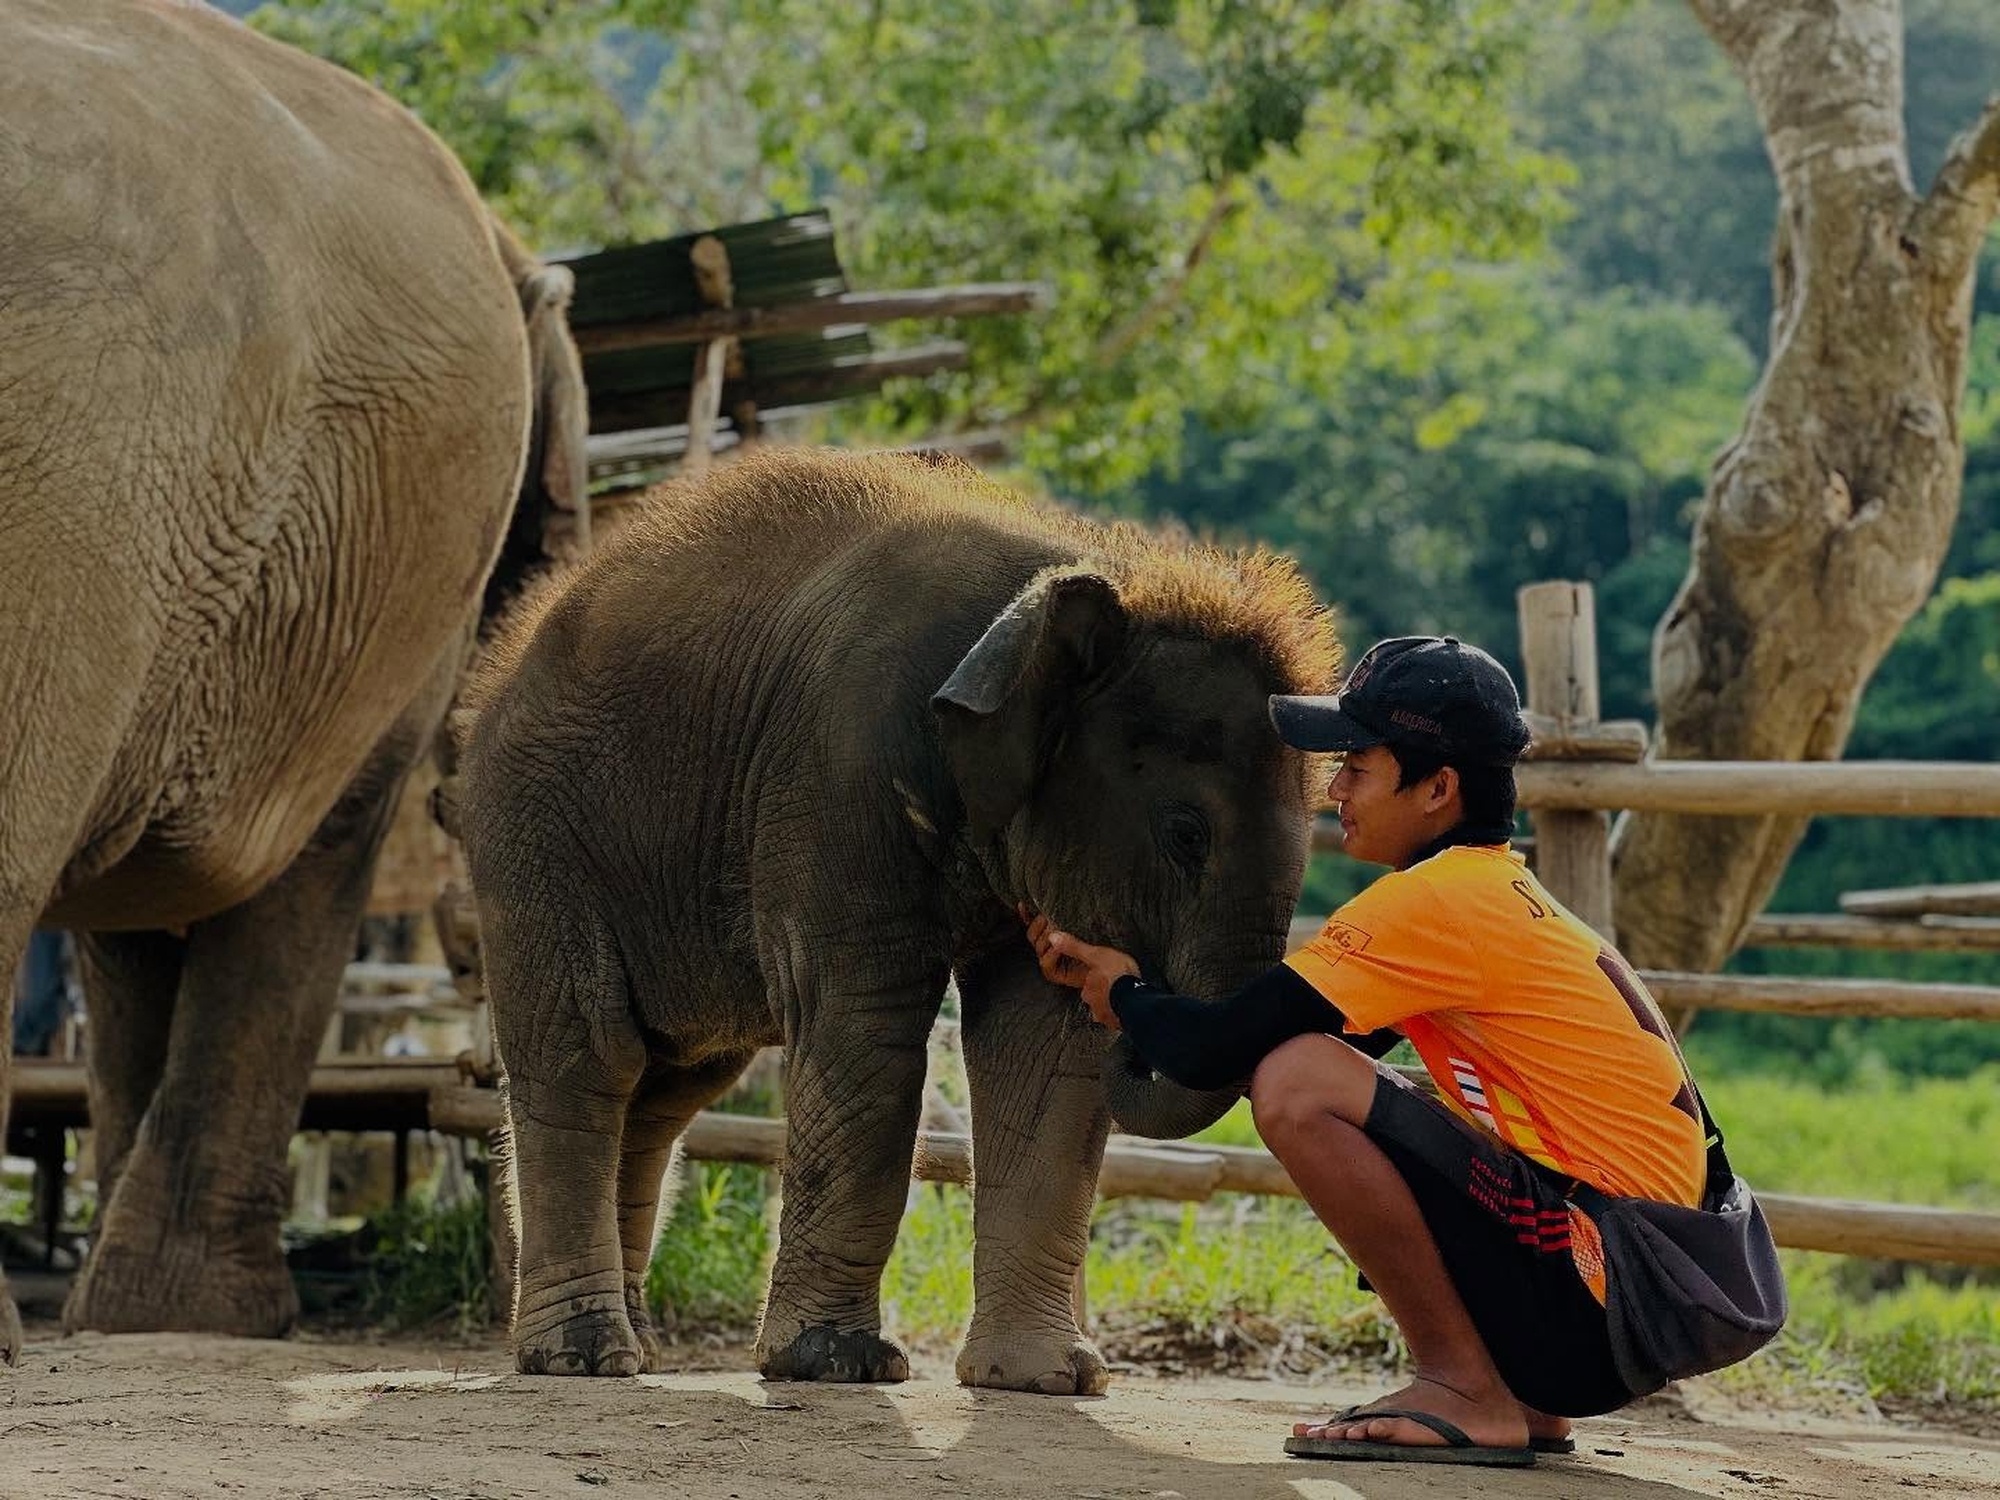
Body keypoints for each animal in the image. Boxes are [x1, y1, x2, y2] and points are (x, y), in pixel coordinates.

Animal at [456, 447, 1339, 1392]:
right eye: (1185, 834)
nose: (1126, 997)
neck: (1087, 578)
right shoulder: (836, 772)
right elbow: (867, 1024)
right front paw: (835, 1365)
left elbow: (1039, 1046)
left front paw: (1048, 1379)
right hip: (535, 840)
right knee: (592, 1055)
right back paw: (581, 1358)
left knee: (669, 1087)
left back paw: (637, 1352)